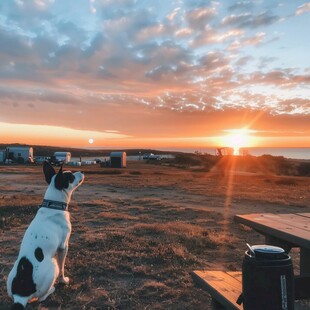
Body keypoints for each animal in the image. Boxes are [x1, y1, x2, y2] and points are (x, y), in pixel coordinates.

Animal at [7, 161, 84, 308]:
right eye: (70, 177)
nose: (82, 171)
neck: (53, 205)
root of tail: (20, 296)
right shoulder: (63, 247)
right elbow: (62, 268)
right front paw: (63, 281)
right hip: (53, 265)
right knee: (41, 297)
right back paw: (52, 289)